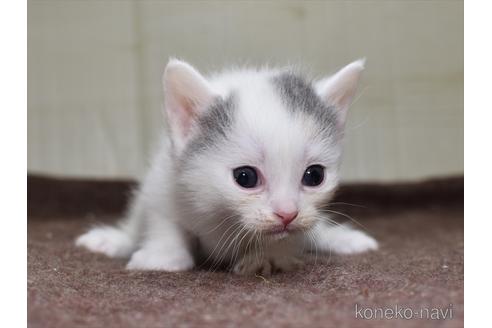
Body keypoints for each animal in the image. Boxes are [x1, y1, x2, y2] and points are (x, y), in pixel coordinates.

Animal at [76, 58, 376, 274]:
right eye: (245, 177)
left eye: (314, 176)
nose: (287, 214)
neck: (223, 216)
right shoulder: (164, 181)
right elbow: (163, 218)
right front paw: (162, 257)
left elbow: (290, 237)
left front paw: (266, 257)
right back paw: (113, 240)